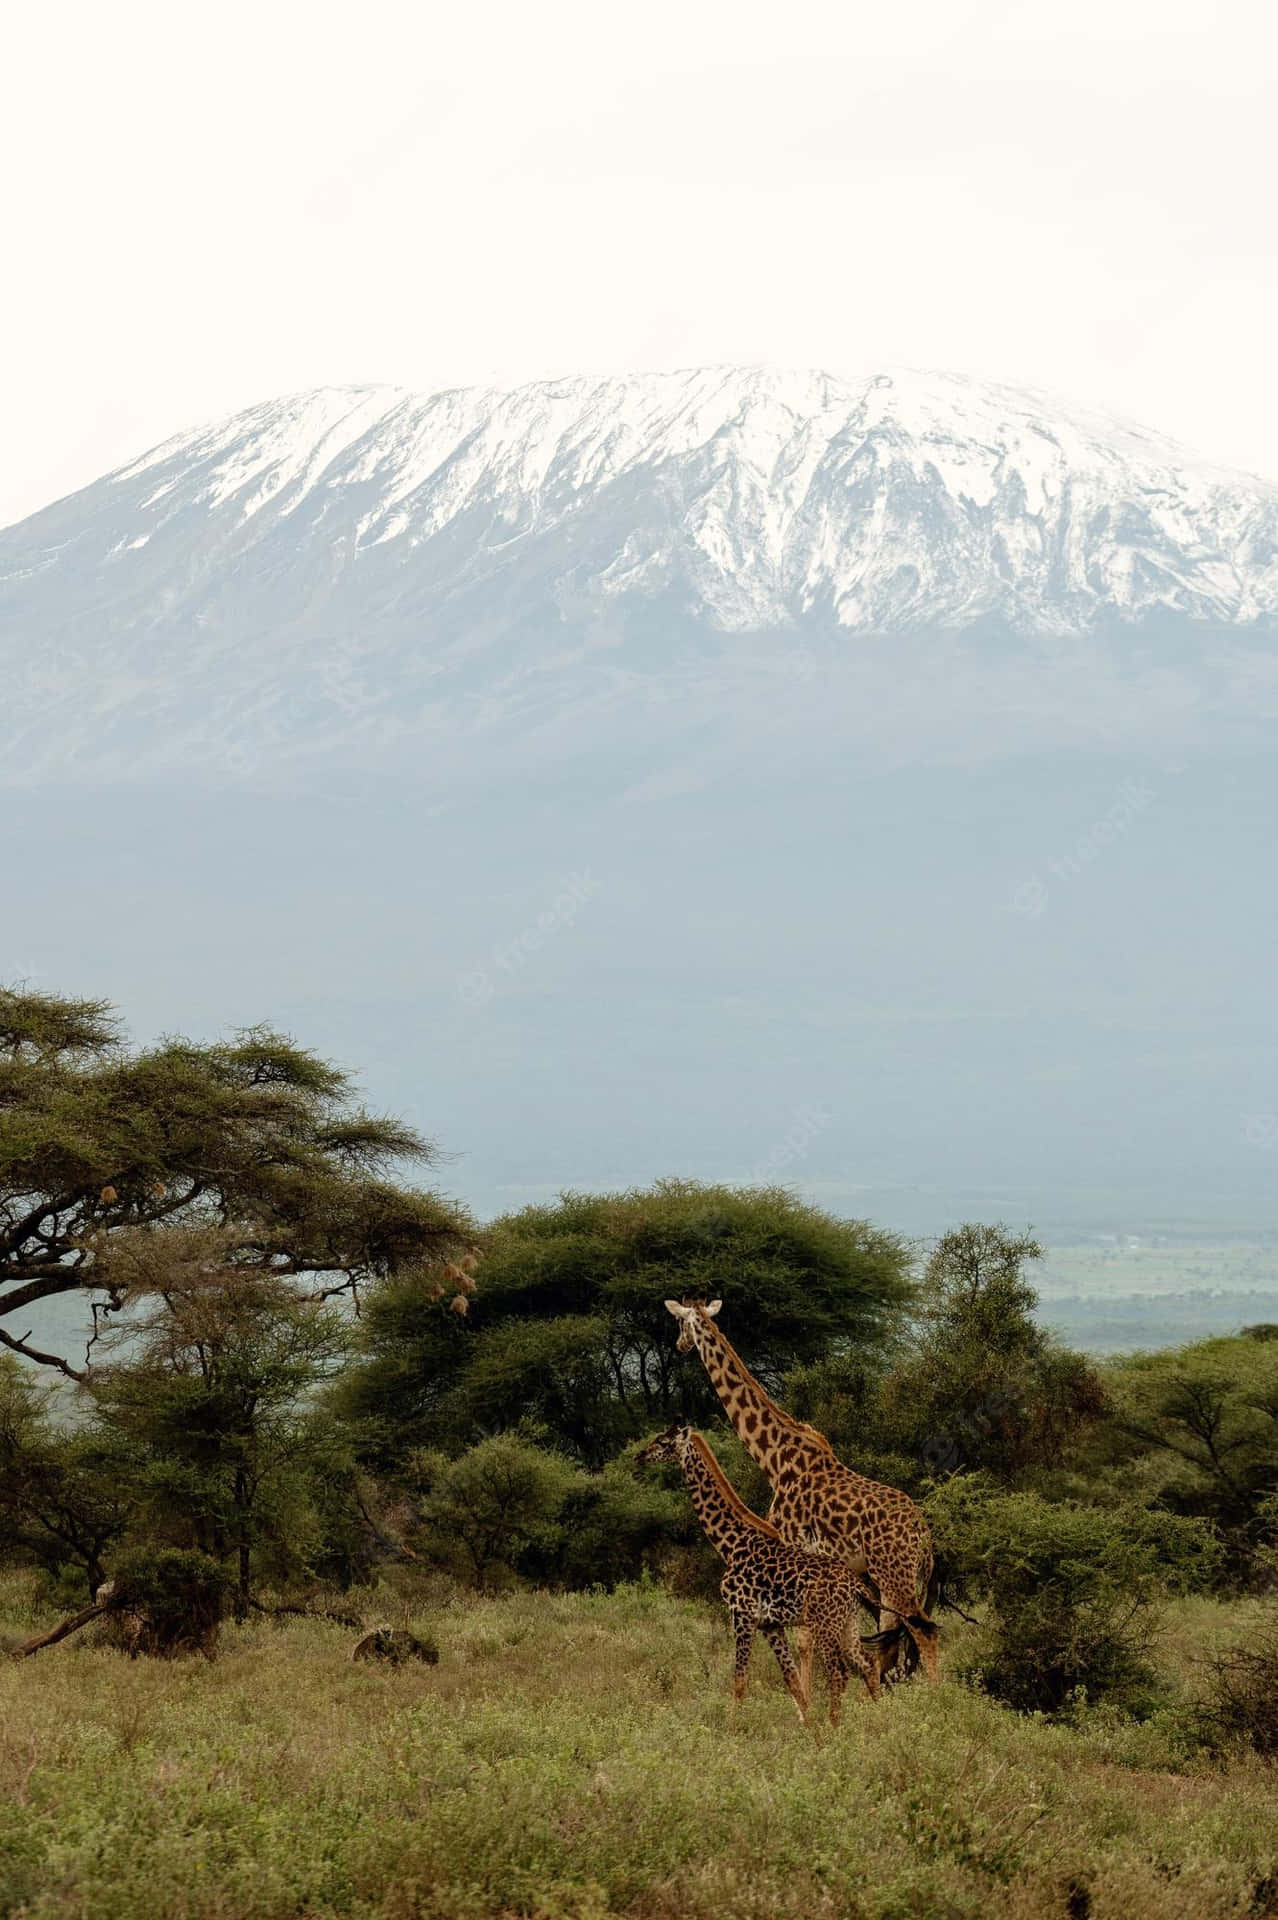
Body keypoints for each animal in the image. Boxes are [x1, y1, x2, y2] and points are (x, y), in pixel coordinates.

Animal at [637, 1421, 879, 1725]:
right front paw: (809, 1726)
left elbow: (740, 1680)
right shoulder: (770, 1625)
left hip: (826, 1624)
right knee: (867, 1664)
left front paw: (730, 1728)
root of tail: (856, 1586)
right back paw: (882, 1717)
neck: (730, 1545)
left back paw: (835, 1727)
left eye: (664, 1442)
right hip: (849, 1622)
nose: (640, 1456)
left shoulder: (741, 1614)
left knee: (840, 1672)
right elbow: (792, 1681)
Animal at [664, 1297, 940, 1684]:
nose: (679, 1345)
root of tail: (923, 1533)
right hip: (909, 1578)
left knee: (921, 1631)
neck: (774, 1459)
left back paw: (935, 1694)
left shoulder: (793, 1544)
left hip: (894, 1574)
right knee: (894, 1636)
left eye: (680, 1323)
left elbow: (804, 1640)